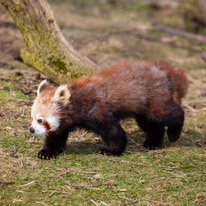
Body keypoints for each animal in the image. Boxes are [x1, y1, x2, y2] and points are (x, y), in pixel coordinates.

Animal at [29, 59, 189, 159]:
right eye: (32, 118)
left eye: (40, 120)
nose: (31, 130)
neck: (78, 101)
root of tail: (161, 69)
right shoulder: (64, 123)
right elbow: (56, 136)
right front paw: (47, 152)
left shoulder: (99, 112)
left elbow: (114, 132)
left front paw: (112, 151)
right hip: (142, 110)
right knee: (152, 125)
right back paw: (153, 143)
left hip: (155, 100)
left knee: (172, 113)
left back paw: (174, 134)